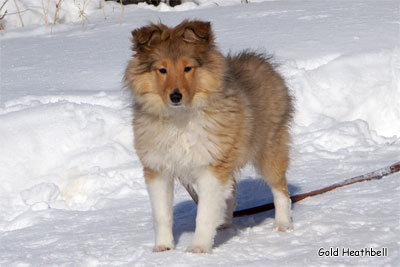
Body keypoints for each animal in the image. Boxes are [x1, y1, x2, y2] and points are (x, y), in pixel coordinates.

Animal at [125, 19, 294, 254]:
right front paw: (163, 246)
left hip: (269, 147)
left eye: (188, 68)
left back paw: (283, 224)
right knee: (231, 190)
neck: (180, 119)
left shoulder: (211, 167)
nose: (175, 96)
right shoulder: (157, 169)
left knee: (280, 189)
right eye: (162, 70)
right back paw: (223, 222)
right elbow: (162, 214)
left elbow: (203, 214)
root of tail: (262, 61)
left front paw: (198, 248)